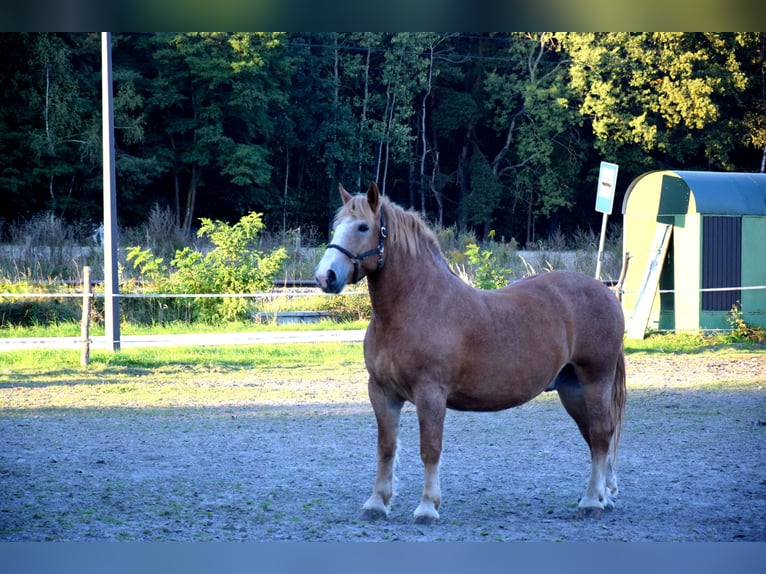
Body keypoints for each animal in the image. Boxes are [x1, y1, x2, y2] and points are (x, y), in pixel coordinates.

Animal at [315, 182, 626, 523]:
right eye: (335, 226)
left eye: (363, 227)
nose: (325, 276)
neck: (413, 306)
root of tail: (605, 292)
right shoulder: (382, 392)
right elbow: (386, 447)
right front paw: (376, 503)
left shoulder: (431, 393)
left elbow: (430, 448)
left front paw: (427, 507)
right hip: (572, 389)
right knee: (596, 437)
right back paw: (605, 496)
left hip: (595, 381)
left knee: (601, 434)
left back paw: (592, 502)